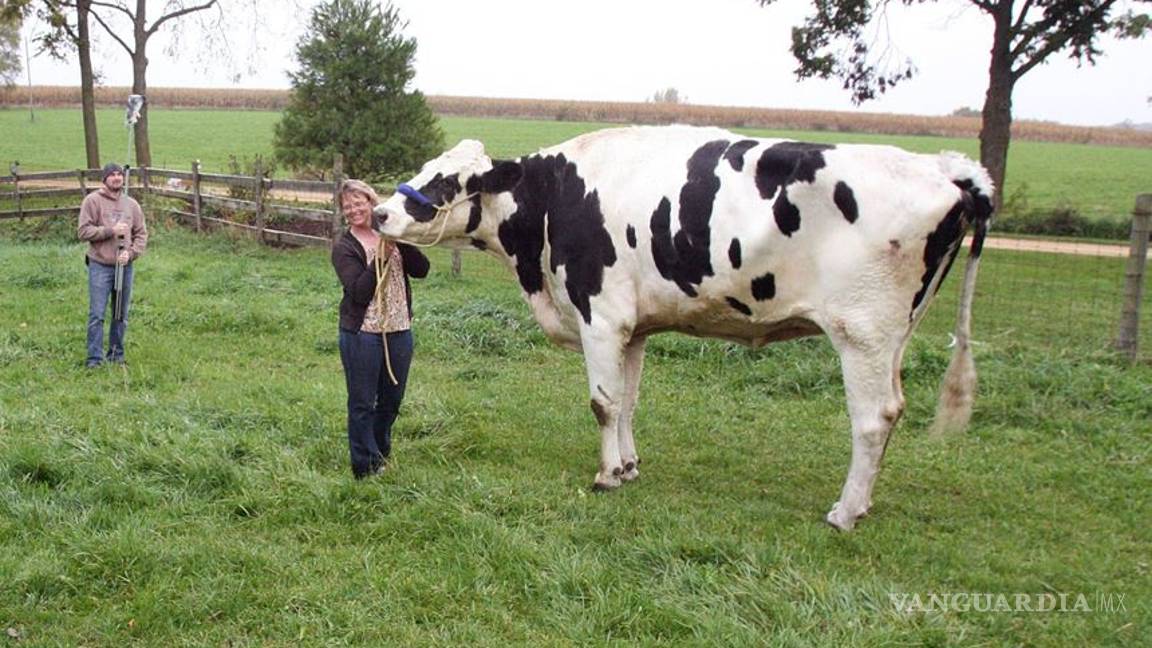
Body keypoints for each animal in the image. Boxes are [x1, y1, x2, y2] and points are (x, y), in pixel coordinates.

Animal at [375, 126, 990, 530]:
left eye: (446, 180)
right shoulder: (634, 326)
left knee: (872, 418)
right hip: (894, 336)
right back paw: (862, 503)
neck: (552, 200)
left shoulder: (601, 316)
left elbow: (602, 402)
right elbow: (627, 402)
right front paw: (627, 467)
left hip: (862, 332)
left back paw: (844, 512)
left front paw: (606, 476)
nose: (381, 212)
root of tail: (945, 169)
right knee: (893, 412)